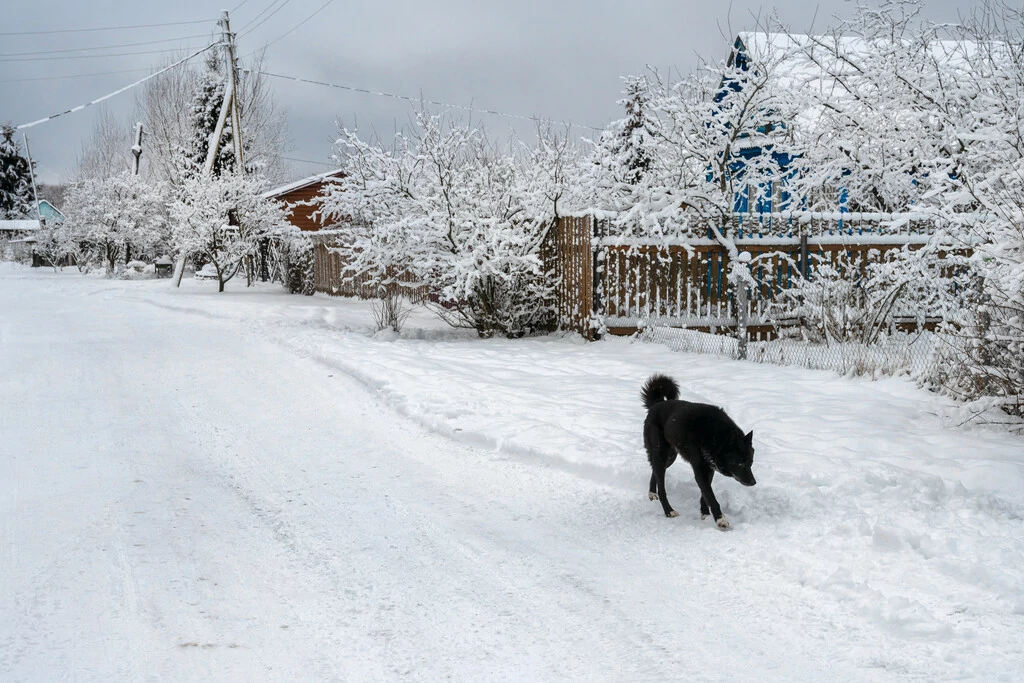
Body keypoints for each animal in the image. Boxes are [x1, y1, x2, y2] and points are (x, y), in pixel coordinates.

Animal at [643, 374, 757, 528]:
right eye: (740, 463)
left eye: (751, 463)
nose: (753, 482)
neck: (715, 436)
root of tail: (656, 404)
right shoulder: (700, 470)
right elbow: (710, 495)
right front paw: (720, 519)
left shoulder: (709, 470)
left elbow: (705, 494)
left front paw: (705, 513)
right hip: (661, 454)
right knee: (662, 487)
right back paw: (668, 510)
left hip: (669, 457)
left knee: (654, 470)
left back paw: (652, 493)